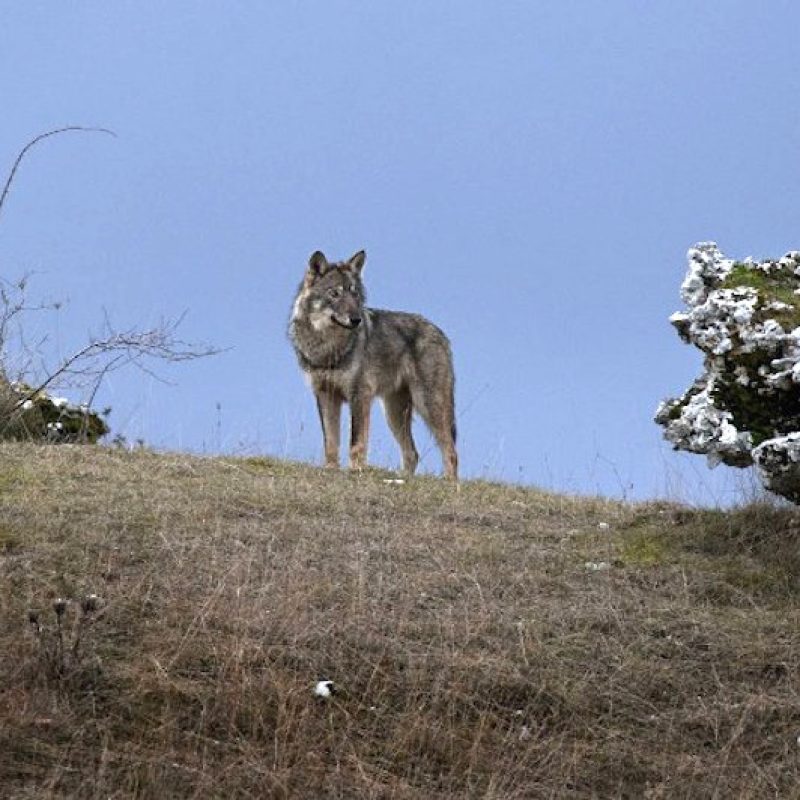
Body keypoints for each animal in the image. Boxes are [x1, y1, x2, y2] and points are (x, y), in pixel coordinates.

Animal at [290, 248, 460, 482]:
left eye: (355, 295)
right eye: (335, 294)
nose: (356, 320)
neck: (327, 346)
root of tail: (440, 333)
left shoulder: (360, 395)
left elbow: (356, 441)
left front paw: (355, 470)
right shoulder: (325, 395)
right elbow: (331, 441)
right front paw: (331, 469)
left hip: (428, 405)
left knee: (450, 450)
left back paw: (450, 483)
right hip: (393, 413)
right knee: (412, 453)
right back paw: (402, 479)